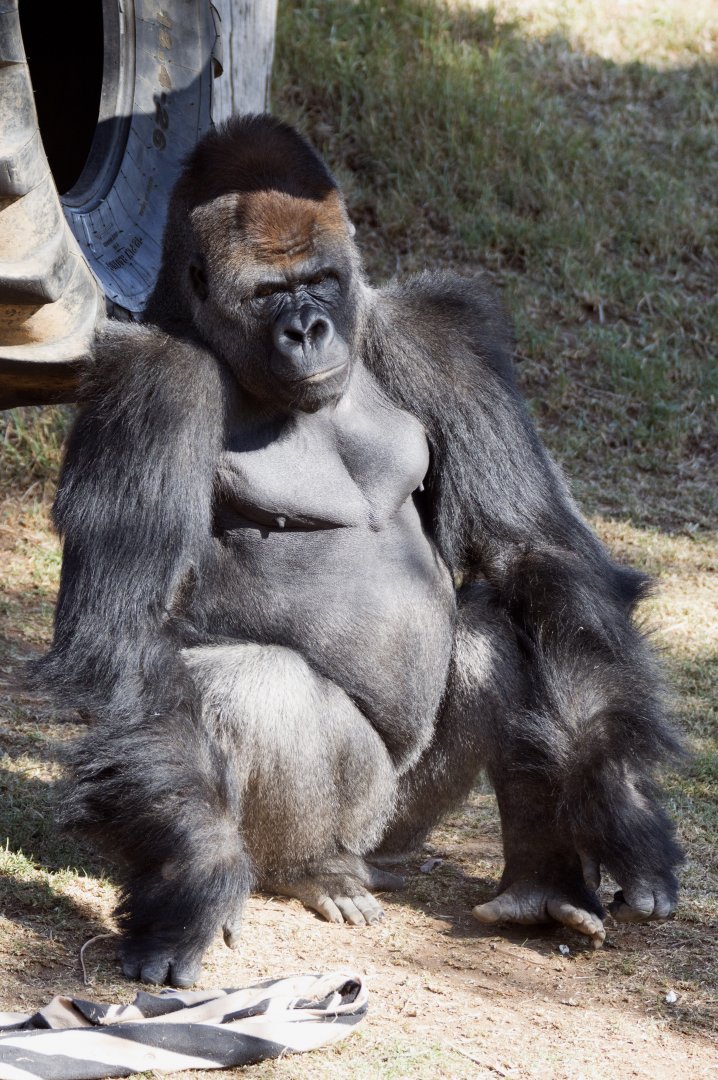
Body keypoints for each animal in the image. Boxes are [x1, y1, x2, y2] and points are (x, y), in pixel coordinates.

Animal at [35, 115, 682, 987]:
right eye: (265, 293)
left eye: (320, 280)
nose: (307, 329)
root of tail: (376, 854)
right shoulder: (150, 383)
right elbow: (131, 633)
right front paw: (192, 878)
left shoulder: (440, 336)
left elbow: (533, 548)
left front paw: (616, 804)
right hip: (358, 820)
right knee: (255, 684)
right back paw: (313, 870)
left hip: (407, 821)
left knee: (500, 618)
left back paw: (542, 878)